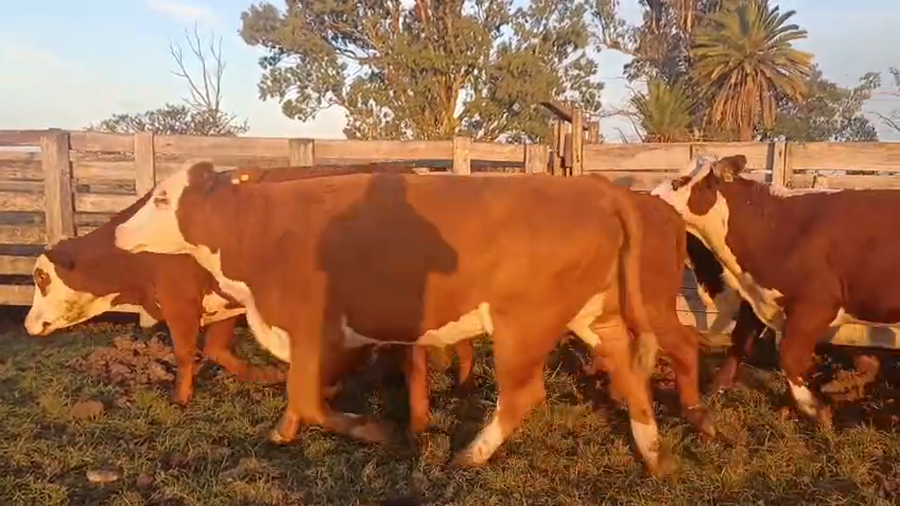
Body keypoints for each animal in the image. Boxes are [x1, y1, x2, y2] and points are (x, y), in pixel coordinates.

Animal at [23, 162, 463, 421]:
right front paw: (265, 374)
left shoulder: (180, 302)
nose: (29, 324)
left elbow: (185, 353)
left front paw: (180, 397)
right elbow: (219, 351)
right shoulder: (224, 305)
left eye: (41, 278)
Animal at [111, 160, 672, 476]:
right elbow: (301, 395)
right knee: (629, 370)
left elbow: (309, 398)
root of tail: (594, 188)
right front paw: (284, 432)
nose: (117, 232)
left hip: (525, 323)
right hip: (594, 313)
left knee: (523, 394)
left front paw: (375, 430)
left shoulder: (312, 327)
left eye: (163, 198)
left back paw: (470, 455)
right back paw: (653, 454)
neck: (262, 230)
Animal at [650, 154, 900, 427]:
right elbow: (740, 341)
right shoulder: (759, 298)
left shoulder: (815, 306)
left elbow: (790, 357)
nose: (649, 197)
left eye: (680, 181)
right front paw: (714, 392)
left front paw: (816, 410)